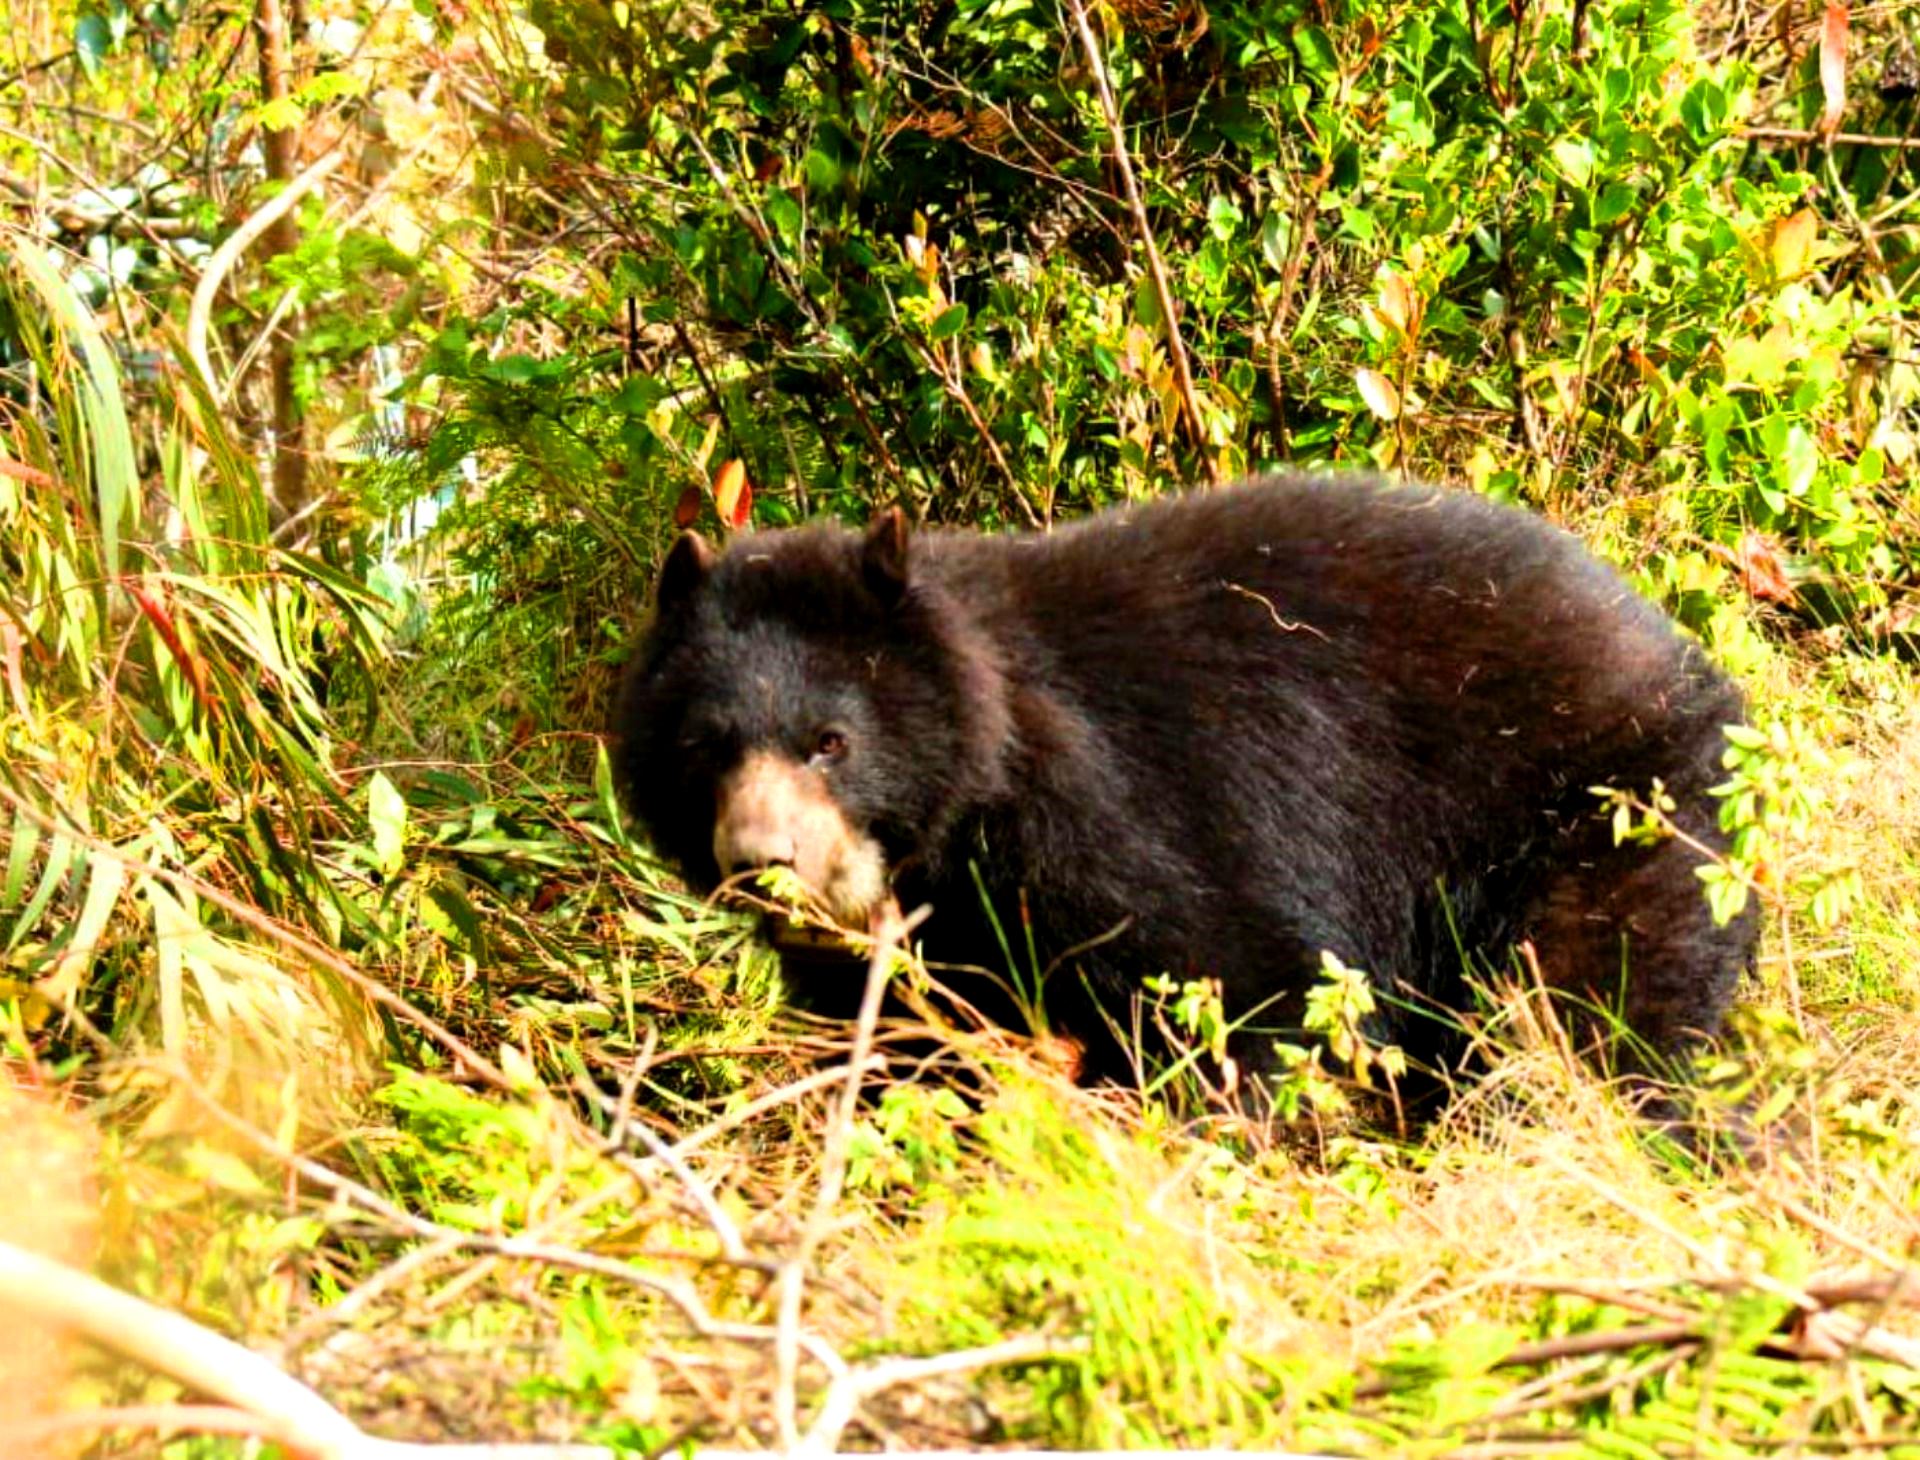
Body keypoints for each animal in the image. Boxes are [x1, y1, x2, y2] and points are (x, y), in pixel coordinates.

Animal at [614, 478, 1758, 1091]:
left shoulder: (1115, 810)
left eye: (830, 742)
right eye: (705, 745)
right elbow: (905, 1040)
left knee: (1595, 1009)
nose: (760, 863)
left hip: (1604, 814)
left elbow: (1237, 978)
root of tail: (1686, 659)